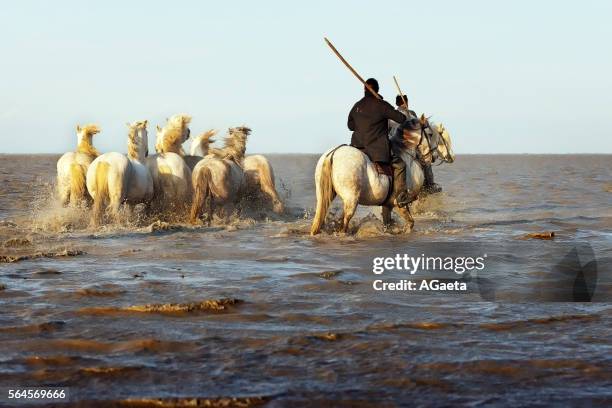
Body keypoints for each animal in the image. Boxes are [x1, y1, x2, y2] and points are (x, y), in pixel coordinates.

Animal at [310, 116, 454, 234]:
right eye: (430, 134)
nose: (432, 157)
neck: (406, 153)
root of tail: (334, 153)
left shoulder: (387, 204)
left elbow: (388, 223)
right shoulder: (399, 203)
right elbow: (410, 223)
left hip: (323, 197)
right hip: (351, 200)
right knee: (343, 226)